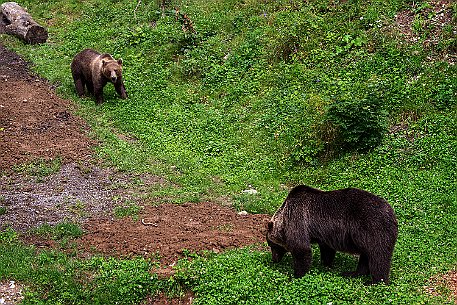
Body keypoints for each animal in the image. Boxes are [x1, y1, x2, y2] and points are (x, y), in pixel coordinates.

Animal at [266, 184, 398, 284]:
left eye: (272, 245)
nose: (274, 259)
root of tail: (392, 213)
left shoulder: (298, 217)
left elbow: (301, 248)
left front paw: (296, 275)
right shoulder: (324, 234)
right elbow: (327, 250)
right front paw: (325, 264)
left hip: (372, 228)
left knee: (378, 256)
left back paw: (375, 281)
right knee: (366, 256)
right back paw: (352, 273)